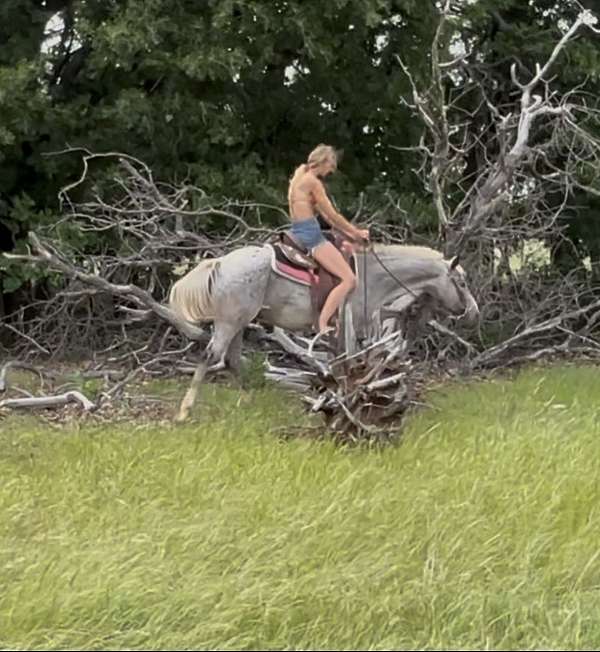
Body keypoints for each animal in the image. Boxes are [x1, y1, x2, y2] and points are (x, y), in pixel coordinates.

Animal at [169, 242, 479, 421]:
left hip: (239, 324)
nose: (473, 313)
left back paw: (247, 405)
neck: (371, 277)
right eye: (462, 283)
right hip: (230, 322)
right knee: (211, 357)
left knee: (231, 361)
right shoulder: (352, 329)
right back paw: (184, 412)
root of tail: (220, 263)